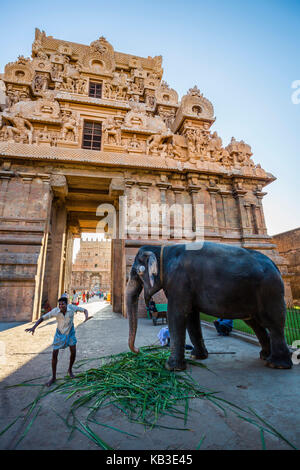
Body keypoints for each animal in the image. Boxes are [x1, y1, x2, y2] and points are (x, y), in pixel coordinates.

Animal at [125, 242, 292, 370]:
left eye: (137, 273)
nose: (138, 351)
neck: (162, 248)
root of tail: (276, 266)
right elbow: (191, 317)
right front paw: (197, 357)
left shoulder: (179, 281)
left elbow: (176, 314)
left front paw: (171, 367)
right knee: (255, 324)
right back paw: (265, 356)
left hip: (270, 291)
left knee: (274, 324)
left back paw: (276, 364)